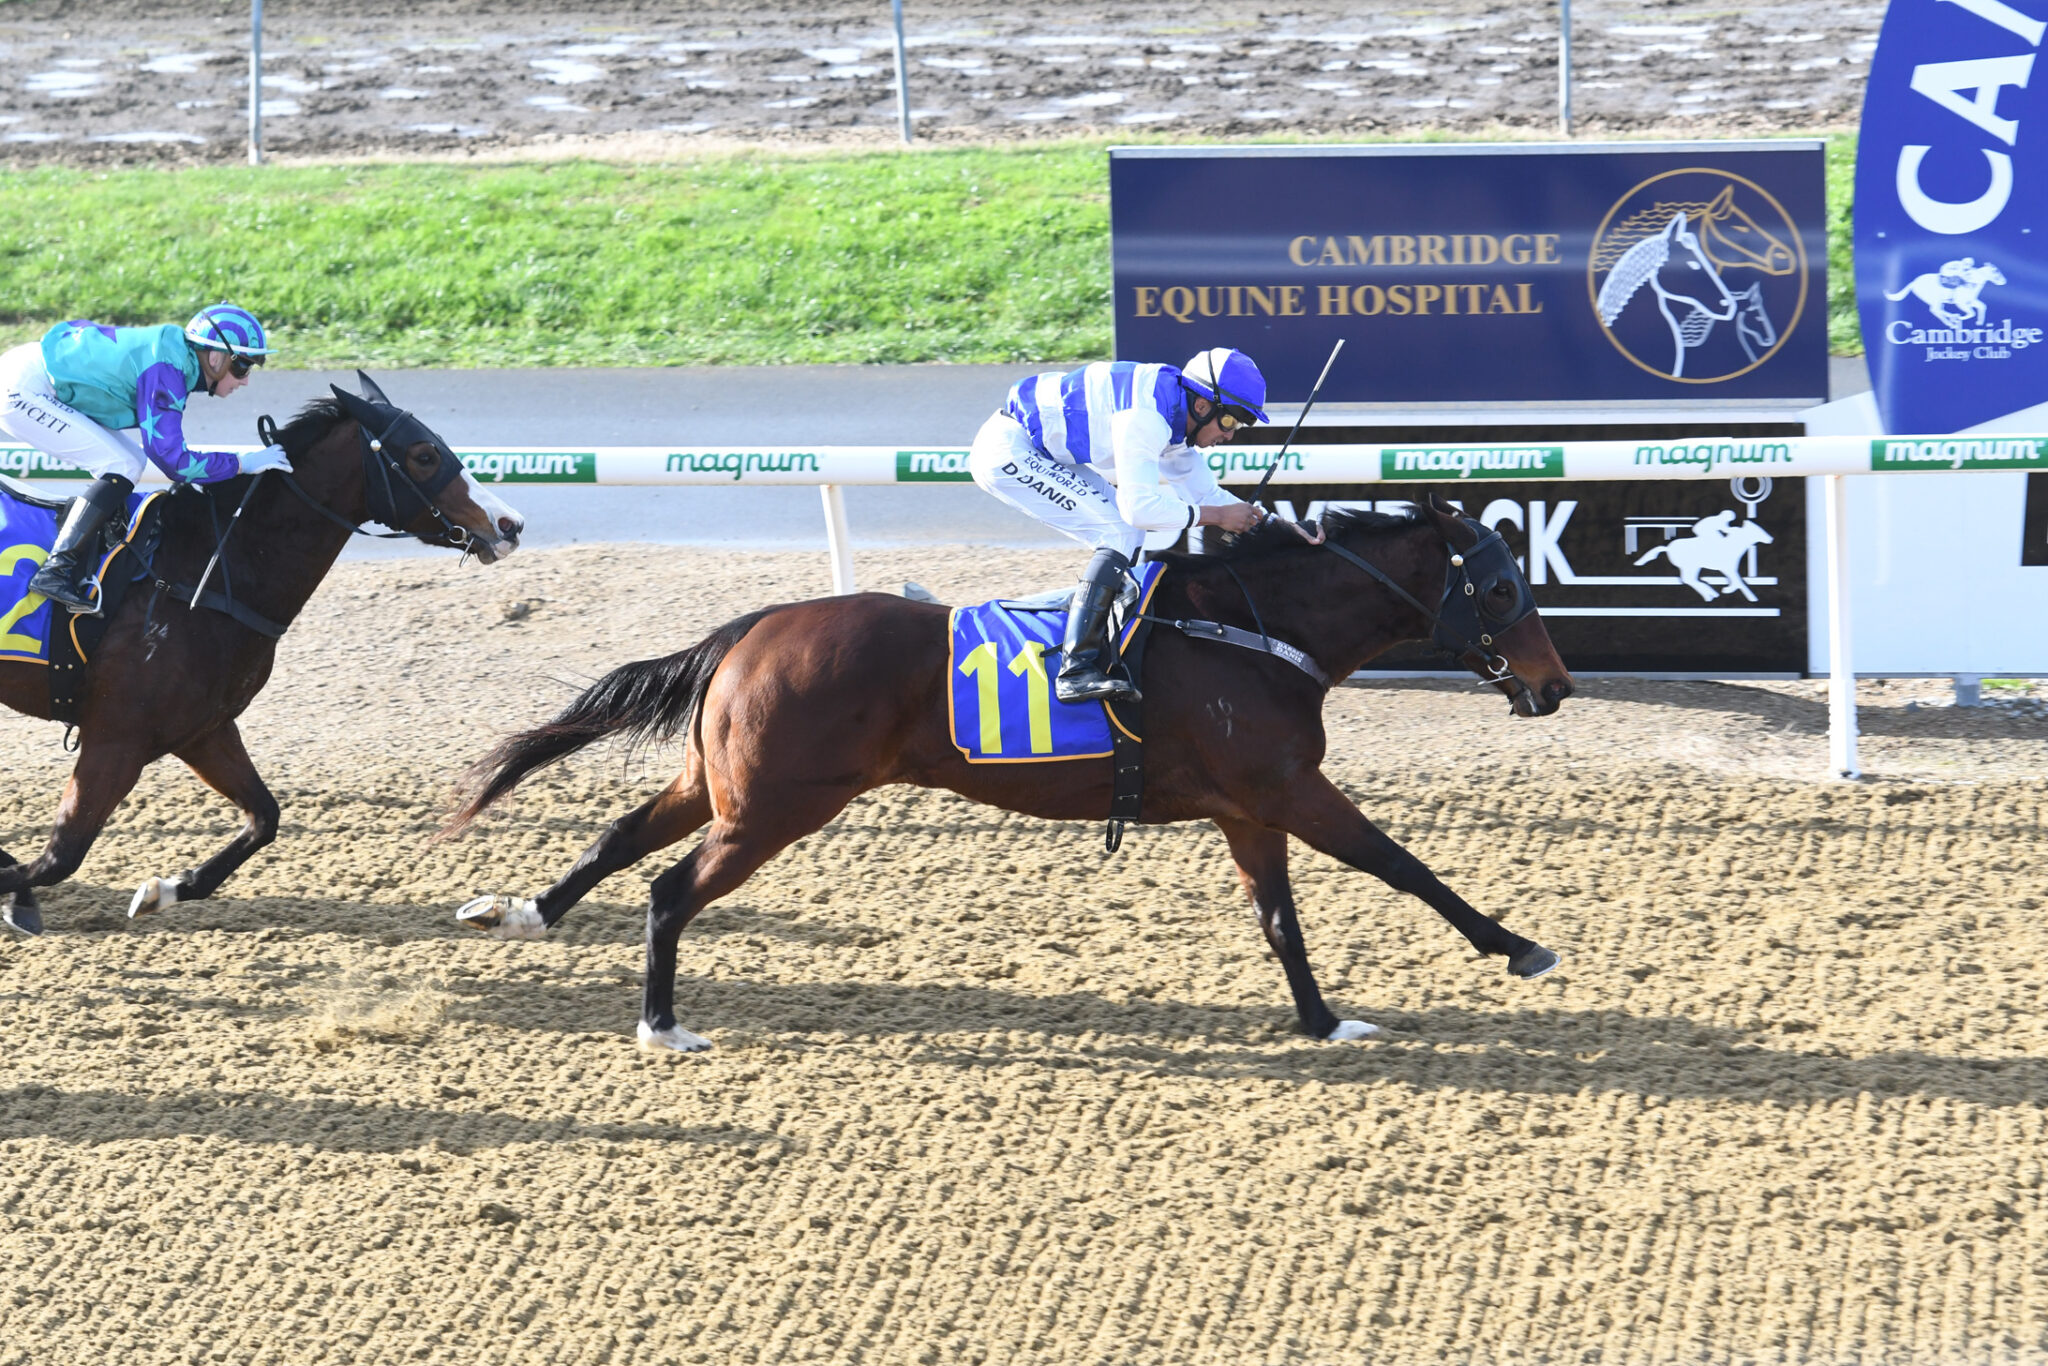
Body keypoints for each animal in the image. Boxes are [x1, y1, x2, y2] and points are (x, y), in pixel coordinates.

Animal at [4, 374, 528, 933]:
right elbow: (58, 858)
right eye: (425, 455)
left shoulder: (203, 730)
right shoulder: (116, 736)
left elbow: (265, 818)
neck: (202, 571)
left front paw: (161, 890)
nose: (510, 524)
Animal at [444, 497, 1564, 1056]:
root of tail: (752, 628)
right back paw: (662, 1023)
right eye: (1503, 587)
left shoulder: (1250, 809)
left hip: (720, 785)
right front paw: (1519, 948)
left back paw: (526, 912)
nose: (1552, 686)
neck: (1251, 630)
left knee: (618, 838)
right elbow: (1403, 866)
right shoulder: (1287, 789)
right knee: (669, 889)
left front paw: (1324, 1022)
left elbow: (1280, 920)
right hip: (773, 807)